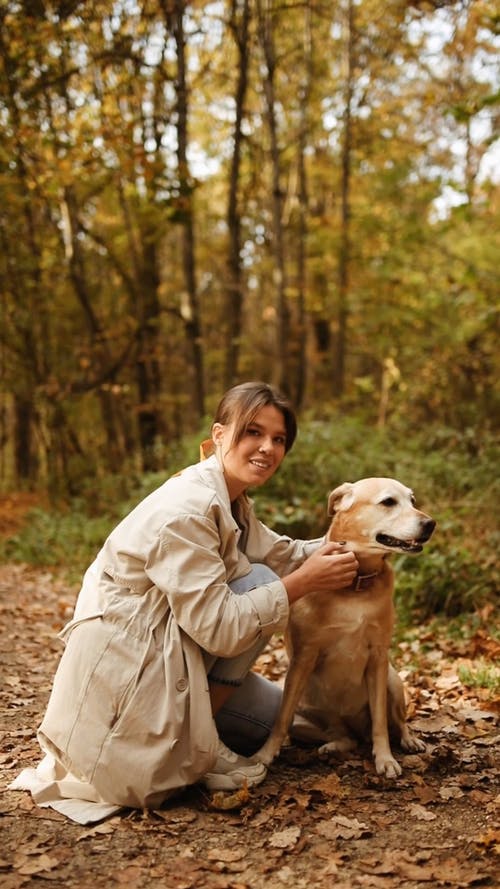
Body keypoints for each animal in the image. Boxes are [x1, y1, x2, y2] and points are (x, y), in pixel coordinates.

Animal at [256, 478, 436, 776]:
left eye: (412, 500)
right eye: (388, 502)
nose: (430, 523)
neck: (356, 584)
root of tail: (354, 728)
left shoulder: (378, 657)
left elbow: (380, 723)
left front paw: (385, 759)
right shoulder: (304, 656)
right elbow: (281, 718)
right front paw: (264, 755)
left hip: (392, 680)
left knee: (396, 722)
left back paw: (409, 740)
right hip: (305, 712)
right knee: (342, 736)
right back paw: (333, 746)